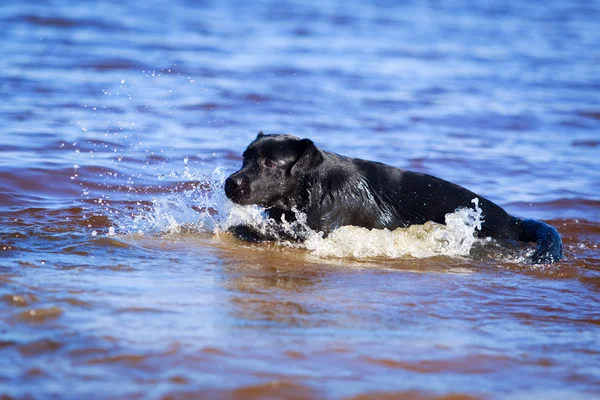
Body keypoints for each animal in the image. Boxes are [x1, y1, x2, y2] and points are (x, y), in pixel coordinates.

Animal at [224, 133, 564, 264]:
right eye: (245, 158)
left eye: (270, 164)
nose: (230, 183)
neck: (314, 186)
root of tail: (514, 221)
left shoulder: (318, 230)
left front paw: (241, 229)